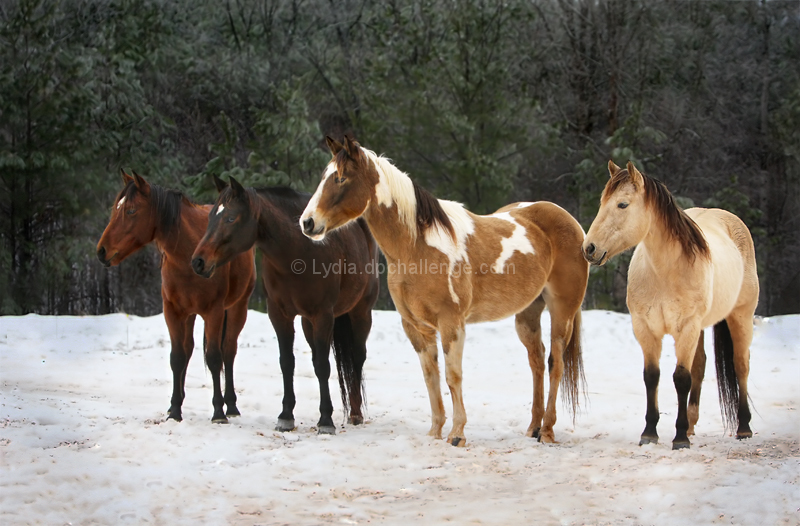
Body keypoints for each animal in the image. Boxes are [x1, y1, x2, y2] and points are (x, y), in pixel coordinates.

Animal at [96, 171, 256, 426]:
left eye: (131, 210)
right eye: (115, 208)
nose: (101, 251)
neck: (188, 254)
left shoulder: (214, 312)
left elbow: (214, 358)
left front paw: (218, 411)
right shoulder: (173, 311)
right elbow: (177, 357)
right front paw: (174, 410)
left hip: (237, 308)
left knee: (228, 351)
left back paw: (231, 405)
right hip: (189, 315)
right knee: (189, 349)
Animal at [189, 175, 380, 436]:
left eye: (230, 217)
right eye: (210, 217)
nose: (198, 262)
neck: (299, 255)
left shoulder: (323, 315)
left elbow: (323, 366)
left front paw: (326, 420)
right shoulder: (280, 315)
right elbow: (288, 362)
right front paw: (286, 416)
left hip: (360, 313)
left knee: (357, 358)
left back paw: (356, 413)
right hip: (308, 323)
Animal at [300, 137, 588, 450]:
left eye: (340, 178)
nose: (307, 223)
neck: (417, 247)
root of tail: (573, 224)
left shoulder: (452, 324)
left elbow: (452, 376)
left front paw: (457, 433)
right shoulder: (417, 327)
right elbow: (431, 377)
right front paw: (435, 431)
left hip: (562, 311)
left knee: (555, 364)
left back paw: (547, 431)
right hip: (527, 314)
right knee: (536, 361)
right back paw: (533, 427)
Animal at [580, 161, 756, 450]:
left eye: (622, 204)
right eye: (602, 202)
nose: (589, 248)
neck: (666, 272)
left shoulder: (686, 328)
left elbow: (681, 378)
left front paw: (680, 437)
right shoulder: (646, 329)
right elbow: (652, 376)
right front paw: (650, 433)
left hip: (740, 317)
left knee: (740, 365)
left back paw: (743, 427)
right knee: (701, 365)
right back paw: (694, 424)